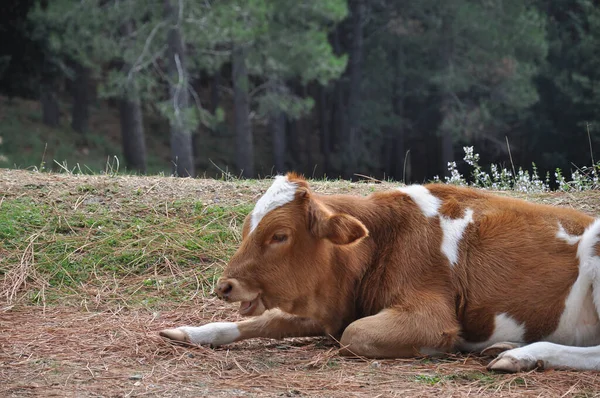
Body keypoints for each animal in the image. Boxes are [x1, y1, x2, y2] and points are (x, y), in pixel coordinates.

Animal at [159, 174, 600, 374]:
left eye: (280, 235)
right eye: (248, 227)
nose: (225, 286)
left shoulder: (429, 314)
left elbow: (355, 336)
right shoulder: (335, 309)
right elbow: (262, 321)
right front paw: (190, 332)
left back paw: (521, 355)